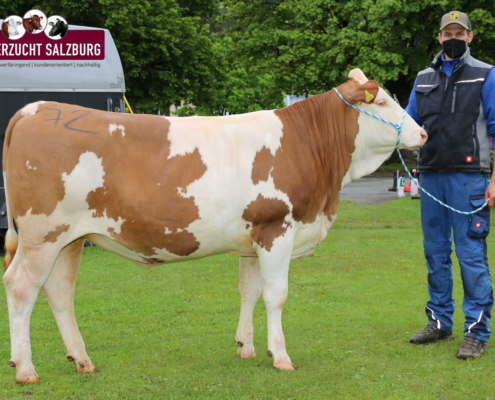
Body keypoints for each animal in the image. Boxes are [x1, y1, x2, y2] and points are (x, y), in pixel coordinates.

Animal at [1, 69, 428, 384]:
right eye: (384, 101)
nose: (422, 133)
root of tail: (34, 109)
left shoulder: (254, 236)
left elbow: (250, 292)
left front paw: (249, 347)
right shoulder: (278, 229)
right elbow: (276, 295)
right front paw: (281, 356)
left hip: (71, 238)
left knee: (59, 291)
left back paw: (81, 359)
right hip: (42, 236)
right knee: (21, 286)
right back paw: (26, 369)